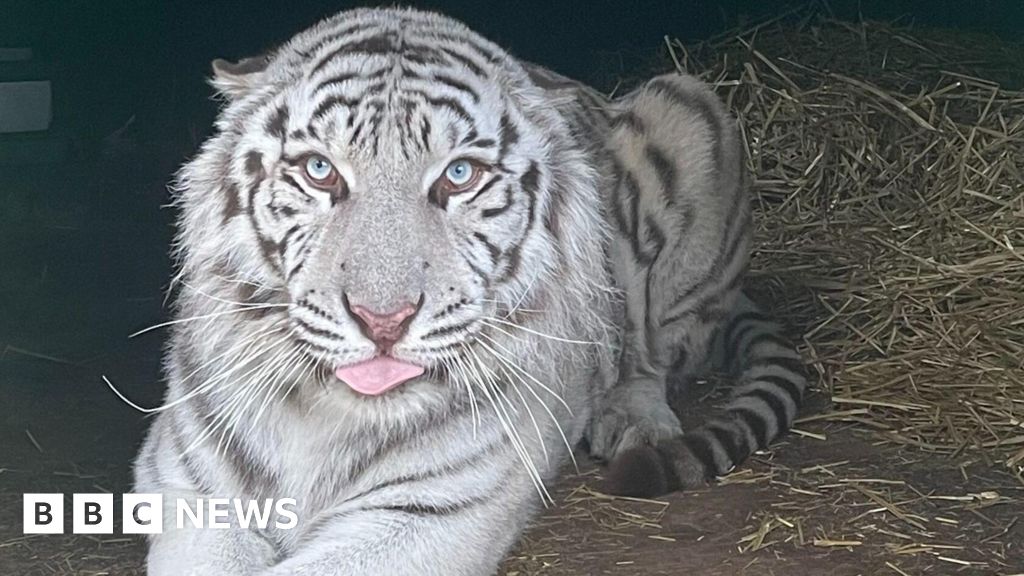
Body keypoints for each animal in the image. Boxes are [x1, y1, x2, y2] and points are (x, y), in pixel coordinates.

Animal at [133, 6, 807, 575]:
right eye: (319, 170)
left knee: (649, 352)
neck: (324, 414)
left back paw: (636, 421)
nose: (383, 320)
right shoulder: (193, 492)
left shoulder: (429, 512)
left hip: (690, 108)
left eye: (460, 175)